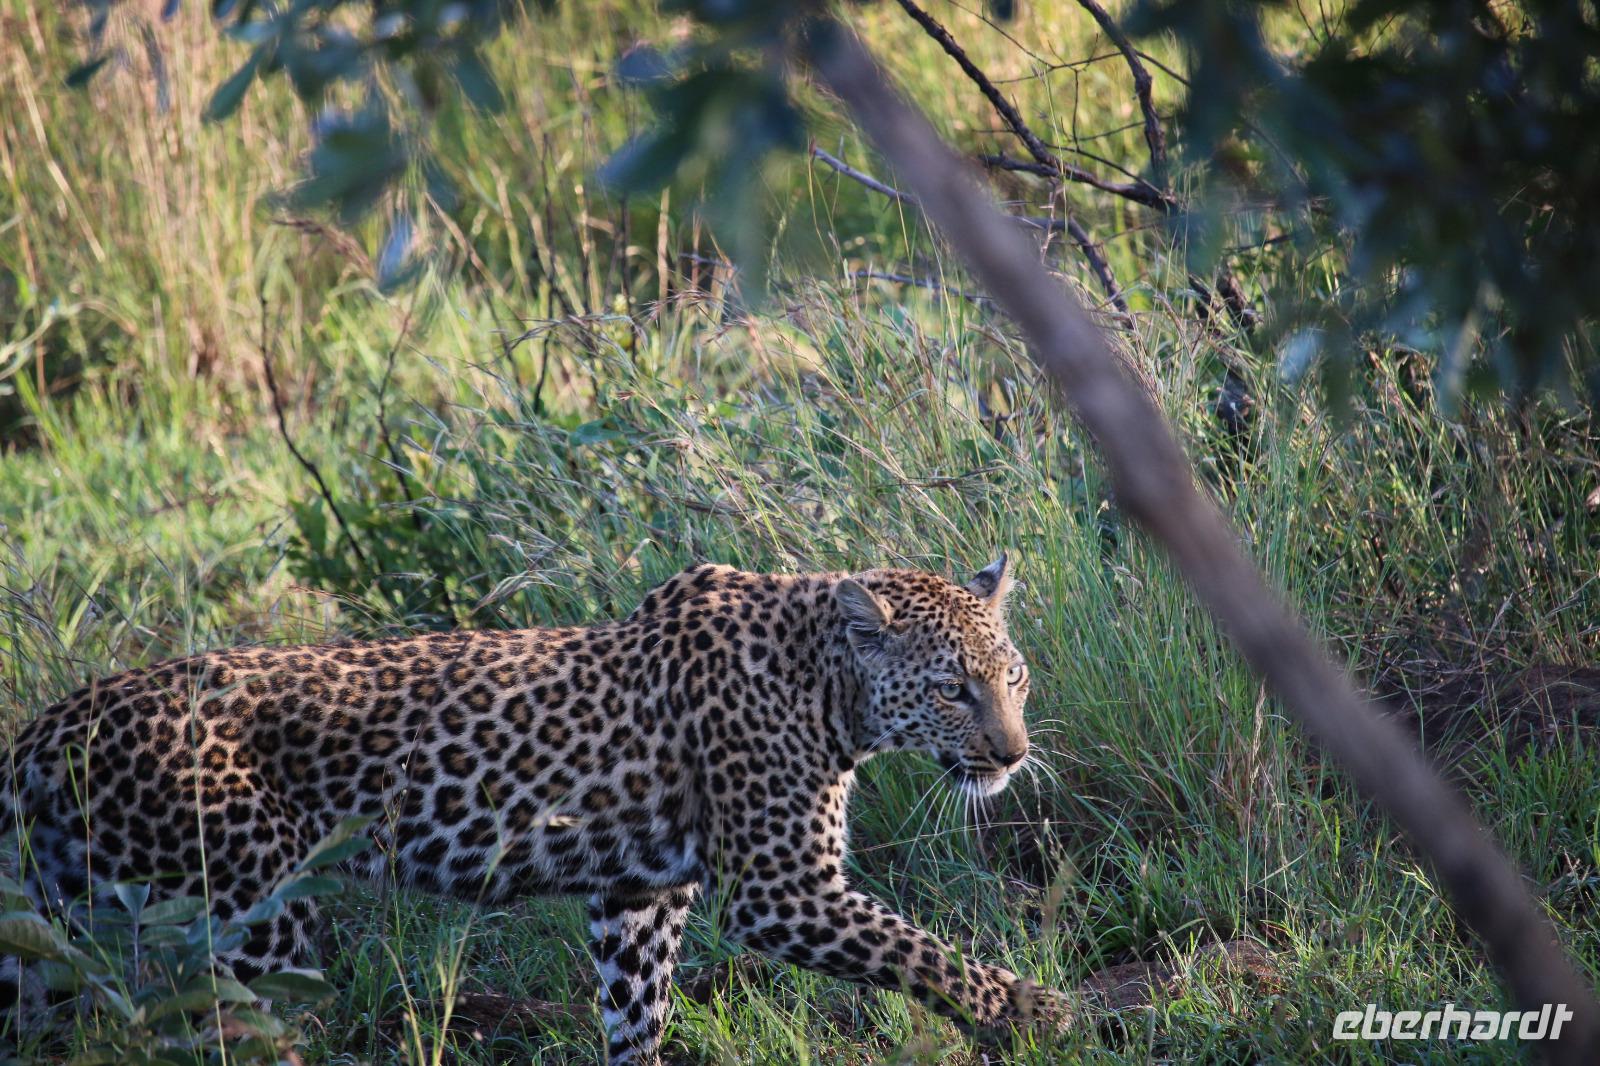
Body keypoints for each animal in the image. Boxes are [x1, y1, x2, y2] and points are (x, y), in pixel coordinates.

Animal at [1, 556, 1063, 1063]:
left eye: (1012, 675)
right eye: (955, 689)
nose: (1013, 754)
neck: (828, 683)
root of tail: (52, 723)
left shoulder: (637, 896)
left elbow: (637, 1016)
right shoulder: (780, 890)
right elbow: (920, 951)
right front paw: (1030, 1013)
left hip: (57, 920)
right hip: (243, 921)